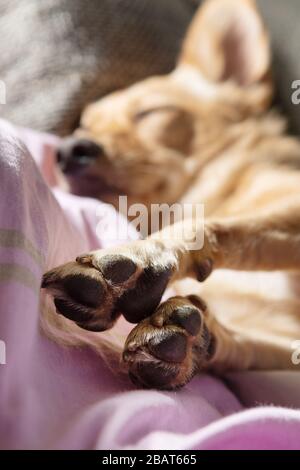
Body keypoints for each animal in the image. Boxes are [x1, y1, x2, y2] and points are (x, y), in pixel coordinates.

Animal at [41, 0, 300, 390]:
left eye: (150, 113)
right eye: (85, 127)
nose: (68, 150)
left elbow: (220, 226)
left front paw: (141, 256)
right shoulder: (281, 338)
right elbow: (254, 345)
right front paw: (198, 340)